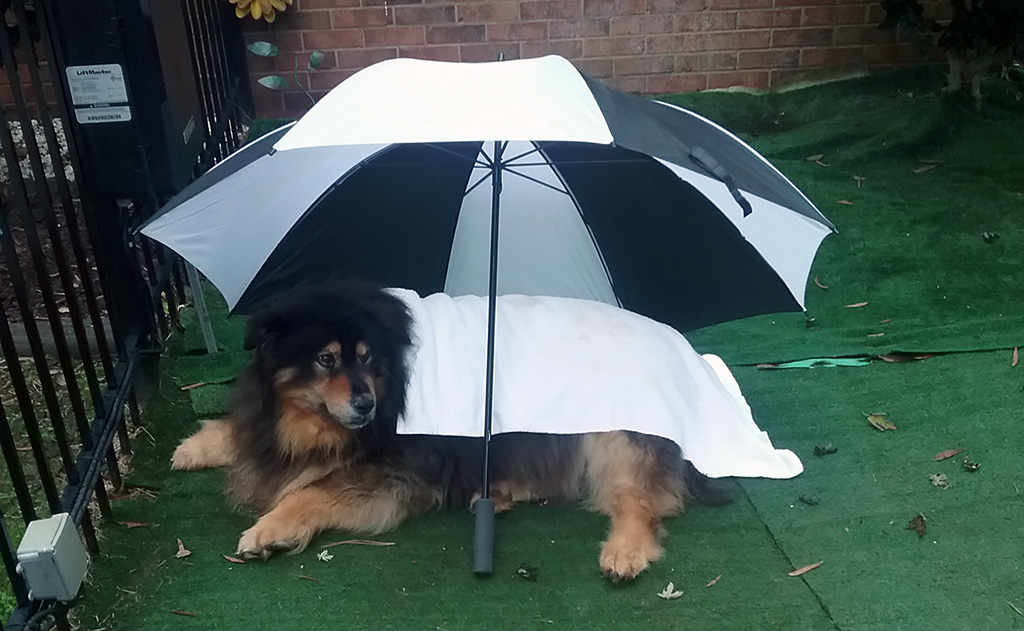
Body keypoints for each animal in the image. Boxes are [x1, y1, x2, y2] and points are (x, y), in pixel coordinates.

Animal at [174, 280, 720, 581]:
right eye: (326, 359)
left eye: (366, 359)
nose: (367, 404)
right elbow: (241, 431)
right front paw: (195, 446)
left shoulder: (395, 473)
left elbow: (311, 492)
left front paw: (268, 530)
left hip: (614, 438)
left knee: (641, 501)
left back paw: (625, 551)